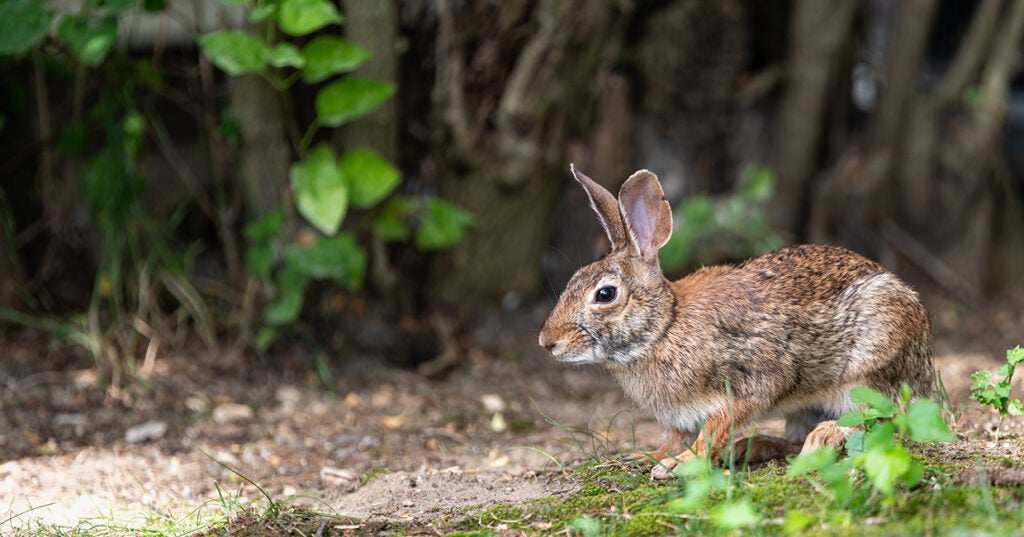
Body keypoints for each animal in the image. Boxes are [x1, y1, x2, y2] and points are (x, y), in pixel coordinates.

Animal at [538, 164, 933, 480]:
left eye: (605, 294)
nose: (547, 342)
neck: (663, 328)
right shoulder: (679, 419)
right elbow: (674, 438)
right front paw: (648, 456)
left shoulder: (753, 381)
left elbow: (715, 427)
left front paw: (679, 464)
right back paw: (751, 447)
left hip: (869, 365)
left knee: (884, 419)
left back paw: (822, 438)